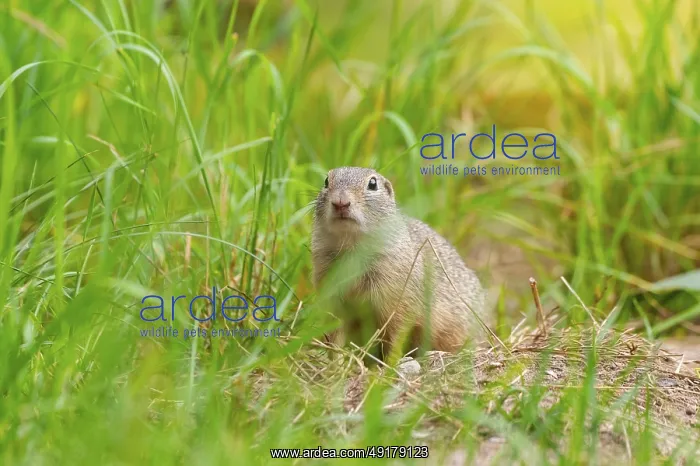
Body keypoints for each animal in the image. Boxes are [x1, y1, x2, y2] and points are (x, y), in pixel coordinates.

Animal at [311, 166, 486, 356]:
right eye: (326, 181)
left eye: (373, 184)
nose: (340, 202)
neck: (352, 249)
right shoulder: (330, 294)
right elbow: (334, 333)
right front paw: (336, 359)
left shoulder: (398, 297)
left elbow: (397, 334)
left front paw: (390, 362)